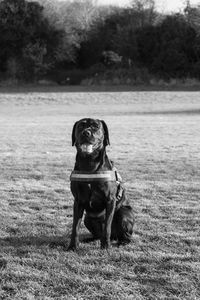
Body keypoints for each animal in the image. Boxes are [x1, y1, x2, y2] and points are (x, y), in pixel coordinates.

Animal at [67, 118, 134, 250]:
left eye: (96, 126)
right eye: (80, 126)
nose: (86, 133)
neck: (89, 164)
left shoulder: (110, 201)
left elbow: (107, 227)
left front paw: (106, 247)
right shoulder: (78, 201)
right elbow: (75, 227)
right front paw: (73, 246)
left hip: (124, 214)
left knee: (125, 236)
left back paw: (121, 242)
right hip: (88, 218)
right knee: (97, 235)